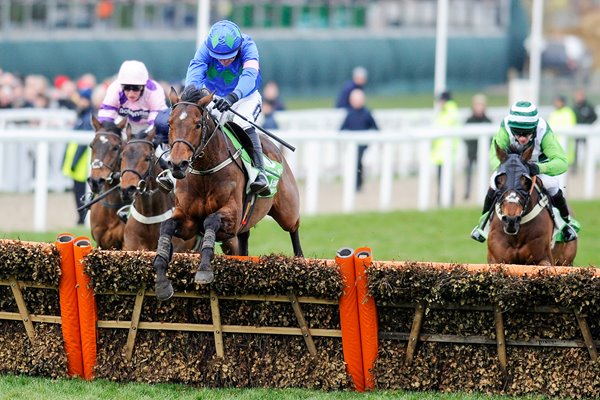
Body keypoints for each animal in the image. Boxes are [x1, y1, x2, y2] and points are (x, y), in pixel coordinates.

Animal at [152, 87, 302, 300]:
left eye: (198, 124)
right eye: (169, 123)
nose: (177, 164)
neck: (205, 172)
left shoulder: (231, 216)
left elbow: (211, 221)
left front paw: (204, 269)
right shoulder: (188, 220)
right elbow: (166, 226)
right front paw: (162, 280)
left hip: (287, 211)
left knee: (293, 228)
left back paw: (300, 261)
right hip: (246, 224)